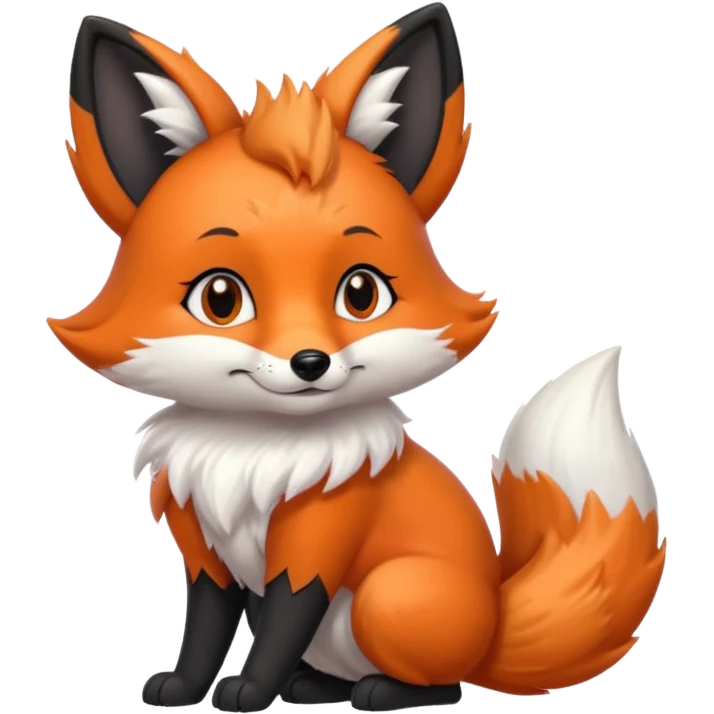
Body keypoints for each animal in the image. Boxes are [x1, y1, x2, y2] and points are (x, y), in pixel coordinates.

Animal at [48, 4, 666, 712]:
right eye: (220, 298)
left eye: (361, 293)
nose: (310, 362)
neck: (254, 454)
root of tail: (495, 623)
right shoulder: (204, 548)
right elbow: (203, 626)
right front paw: (183, 687)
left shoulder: (317, 540)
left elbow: (282, 625)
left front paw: (249, 691)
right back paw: (312, 685)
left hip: (390, 596)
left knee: (445, 686)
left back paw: (381, 690)